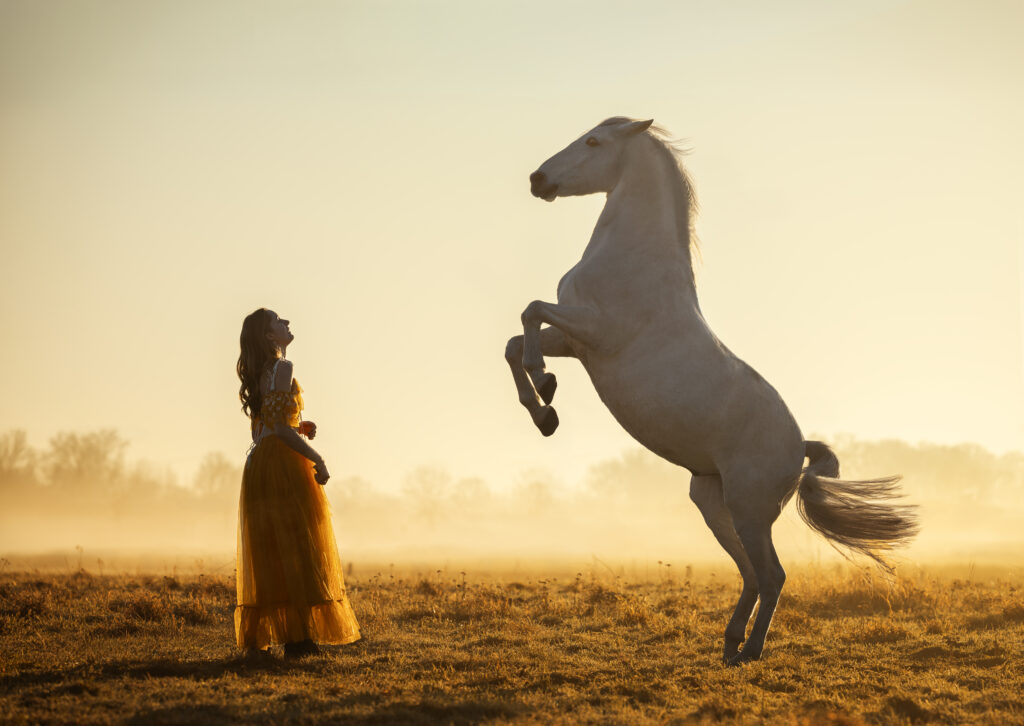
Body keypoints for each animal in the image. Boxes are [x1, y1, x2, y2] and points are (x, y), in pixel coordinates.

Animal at [504, 117, 918, 665]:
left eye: (594, 141)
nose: (538, 179)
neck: (633, 259)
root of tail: (798, 448)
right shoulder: (576, 341)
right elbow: (513, 343)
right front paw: (545, 409)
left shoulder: (594, 331)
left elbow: (530, 312)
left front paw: (544, 383)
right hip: (714, 505)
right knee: (751, 575)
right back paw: (730, 643)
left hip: (749, 511)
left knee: (772, 574)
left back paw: (750, 651)